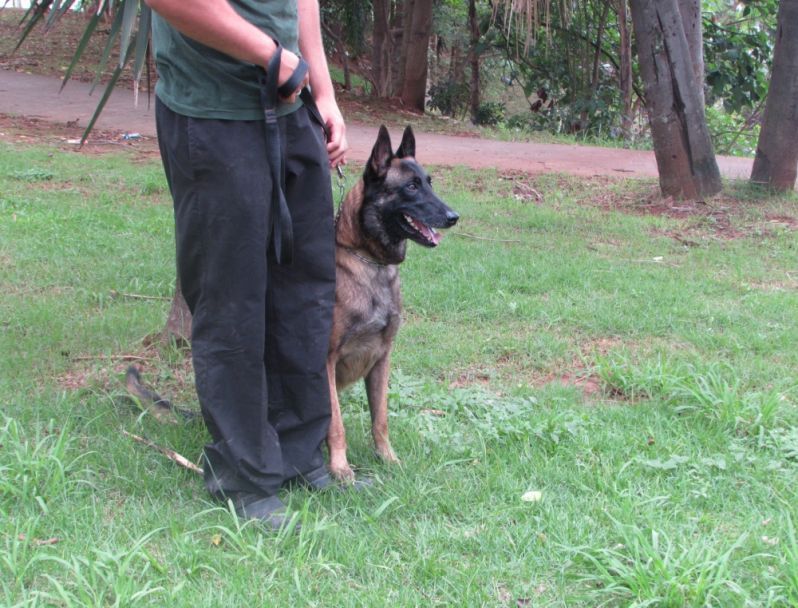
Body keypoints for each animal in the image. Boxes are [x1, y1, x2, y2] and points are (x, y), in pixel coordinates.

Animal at [328, 126, 460, 482]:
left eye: (429, 182)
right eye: (411, 187)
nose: (453, 217)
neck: (370, 264)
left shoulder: (381, 358)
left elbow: (381, 418)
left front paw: (387, 459)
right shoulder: (325, 362)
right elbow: (336, 424)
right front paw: (340, 468)